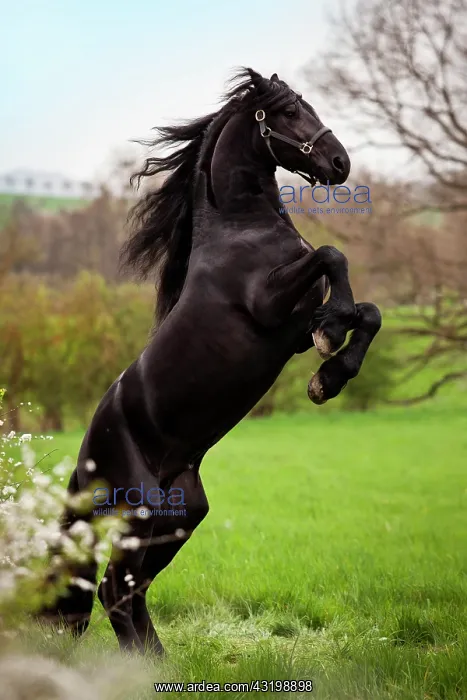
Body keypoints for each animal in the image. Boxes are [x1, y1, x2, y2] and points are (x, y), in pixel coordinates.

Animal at [39, 68, 381, 653]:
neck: (241, 230)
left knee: (128, 590)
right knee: (114, 588)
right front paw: (332, 340)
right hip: (139, 510)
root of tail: (86, 453)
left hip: (180, 515)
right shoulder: (271, 307)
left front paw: (329, 376)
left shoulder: (293, 329)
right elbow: (332, 256)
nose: (340, 163)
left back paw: (156, 663)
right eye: (289, 112)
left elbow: (370, 311)